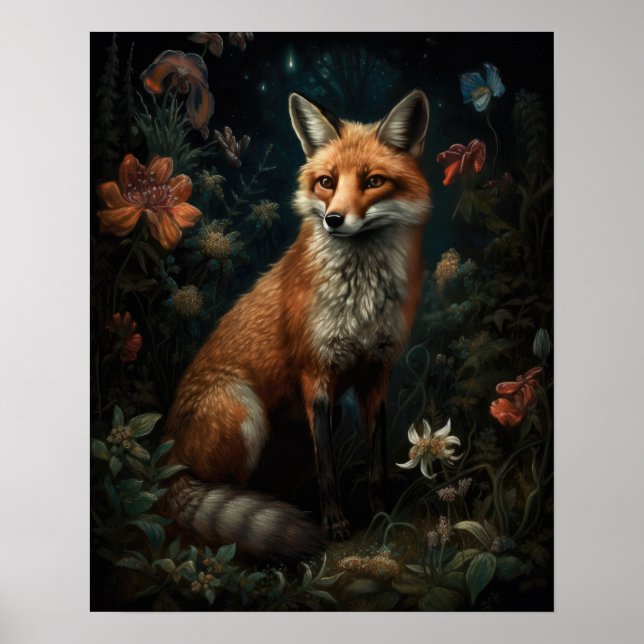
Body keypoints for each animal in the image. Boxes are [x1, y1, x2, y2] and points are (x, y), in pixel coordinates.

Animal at [163, 89, 432, 563]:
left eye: (373, 181)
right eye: (327, 182)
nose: (333, 220)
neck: (360, 298)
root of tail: (171, 457)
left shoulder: (376, 373)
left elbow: (377, 463)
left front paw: (382, 513)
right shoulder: (315, 374)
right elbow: (329, 471)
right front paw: (336, 524)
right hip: (245, 411)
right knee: (223, 498)